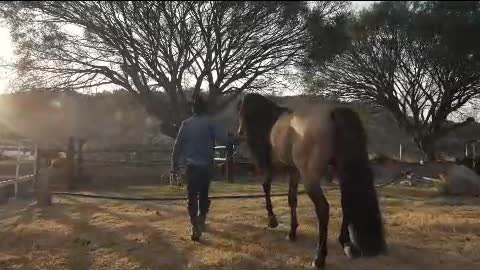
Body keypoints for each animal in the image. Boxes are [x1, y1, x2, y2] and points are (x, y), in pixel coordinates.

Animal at [238, 93, 388, 268]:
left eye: (242, 112)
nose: (240, 132)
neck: (270, 121)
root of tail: (333, 113)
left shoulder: (270, 167)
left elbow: (266, 187)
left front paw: (272, 221)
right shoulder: (294, 171)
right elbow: (292, 199)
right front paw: (292, 232)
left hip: (310, 178)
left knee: (323, 209)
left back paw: (319, 258)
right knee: (346, 203)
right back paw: (345, 243)